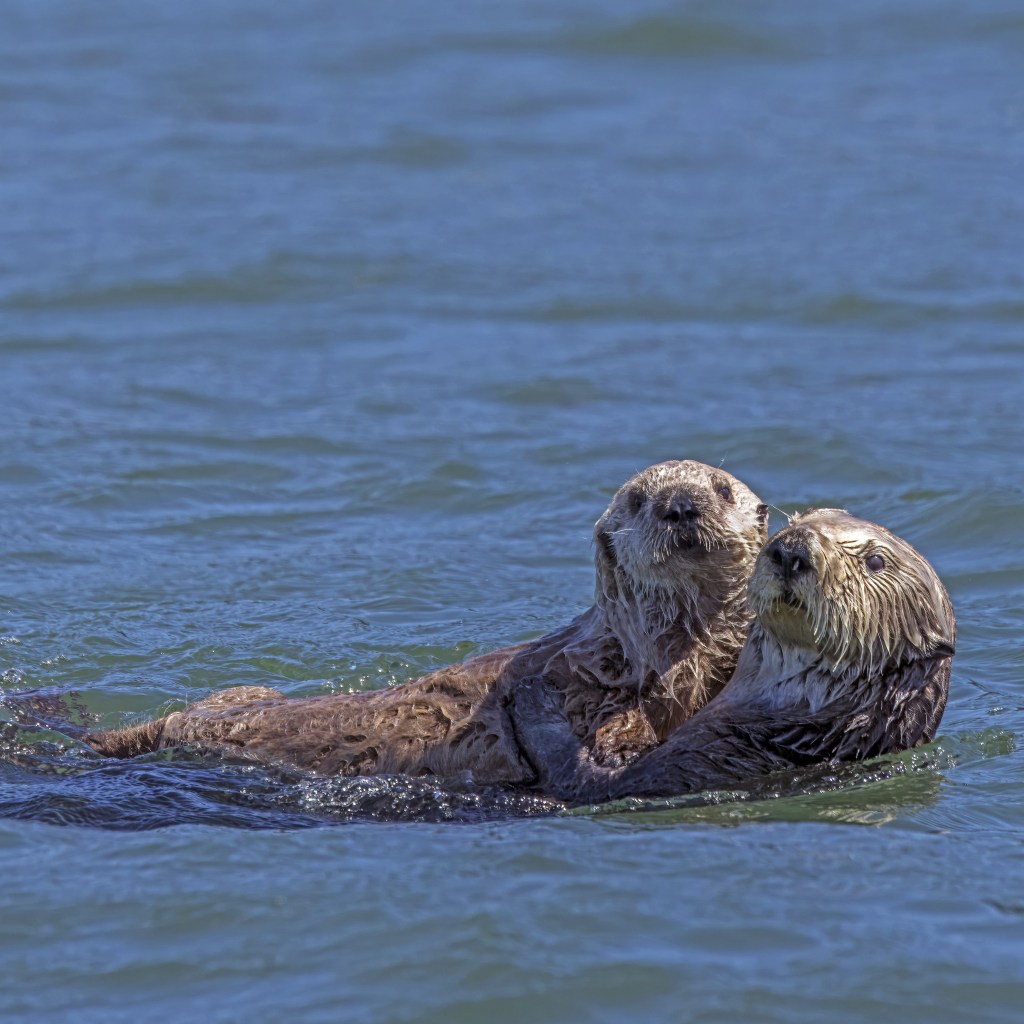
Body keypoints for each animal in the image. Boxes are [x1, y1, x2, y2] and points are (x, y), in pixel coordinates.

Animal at [509, 509, 955, 804]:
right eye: (797, 521)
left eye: (875, 561)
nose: (791, 550)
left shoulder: (703, 760)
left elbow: (578, 776)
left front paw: (531, 693)